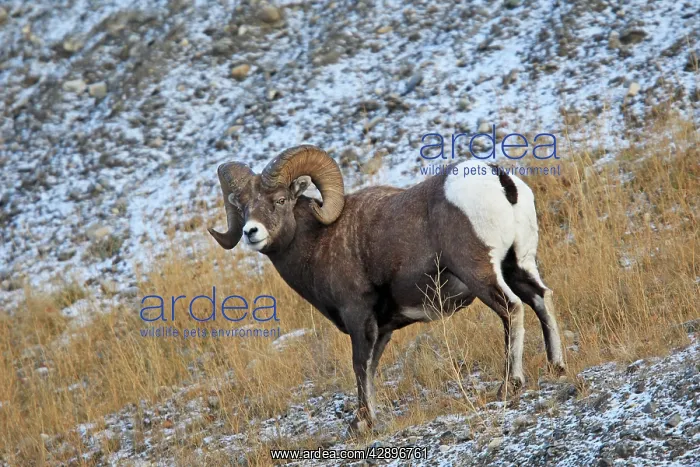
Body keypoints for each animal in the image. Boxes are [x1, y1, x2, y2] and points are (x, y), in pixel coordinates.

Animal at [208, 145, 566, 433]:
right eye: (243, 208)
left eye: (280, 200)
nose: (251, 232)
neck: (320, 241)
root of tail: (501, 181)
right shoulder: (382, 328)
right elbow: (372, 368)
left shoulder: (358, 317)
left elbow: (359, 366)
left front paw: (362, 423)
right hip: (518, 264)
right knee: (541, 299)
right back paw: (557, 366)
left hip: (481, 272)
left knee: (512, 309)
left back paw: (509, 385)